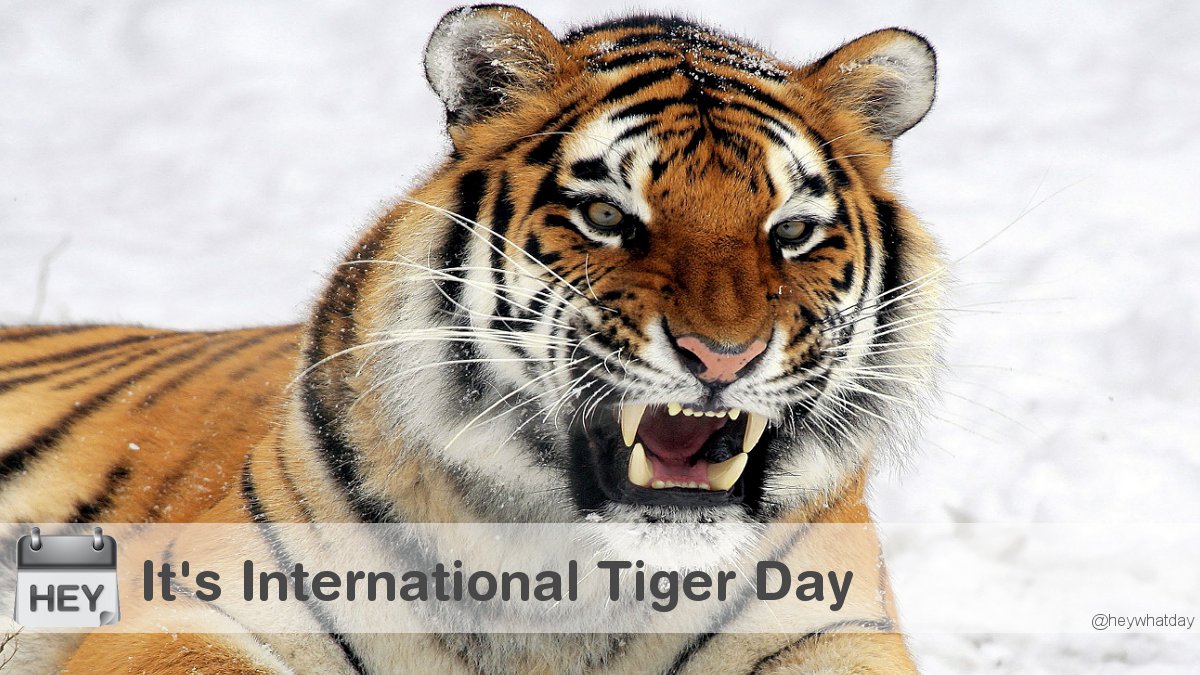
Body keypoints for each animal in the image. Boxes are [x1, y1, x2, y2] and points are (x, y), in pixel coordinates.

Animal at [0, 4, 945, 673]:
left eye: (792, 232)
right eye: (608, 216)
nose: (724, 357)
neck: (575, 578)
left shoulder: (832, 626)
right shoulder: (201, 604)